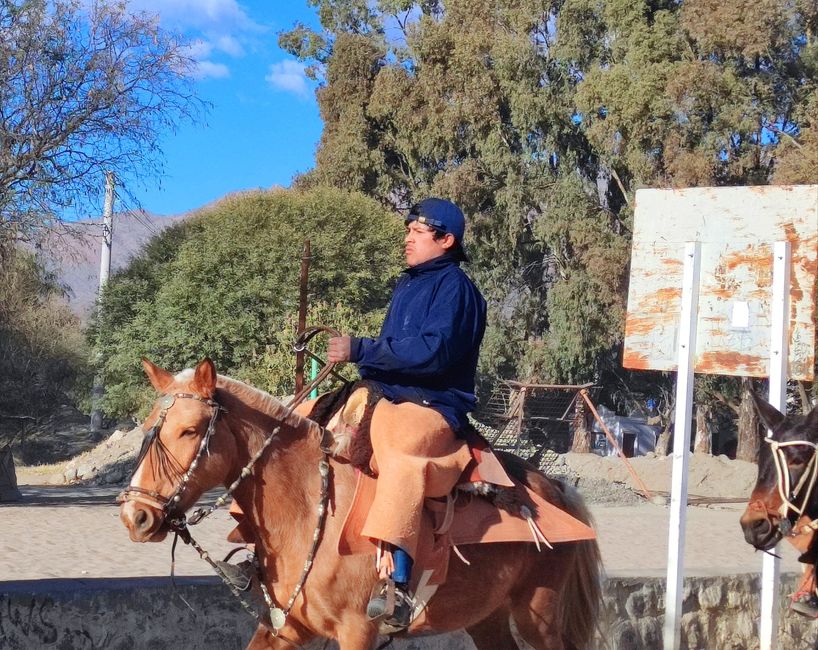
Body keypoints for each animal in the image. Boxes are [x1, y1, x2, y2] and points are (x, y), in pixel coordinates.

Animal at [119, 356, 600, 644]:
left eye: (190, 430)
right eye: (148, 425)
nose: (135, 516)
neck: (307, 511)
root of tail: (554, 488)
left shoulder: (357, 631)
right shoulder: (285, 626)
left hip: (538, 613)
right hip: (488, 616)